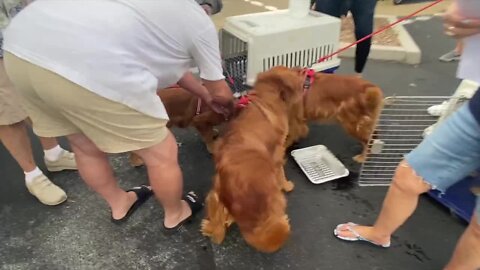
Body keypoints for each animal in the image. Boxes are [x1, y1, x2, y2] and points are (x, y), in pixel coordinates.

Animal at [200, 66, 304, 253]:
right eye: (293, 70)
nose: (303, 70)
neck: (265, 96)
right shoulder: (278, 151)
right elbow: (281, 173)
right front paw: (286, 185)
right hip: (274, 202)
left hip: (214, 195)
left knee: (221, 224)